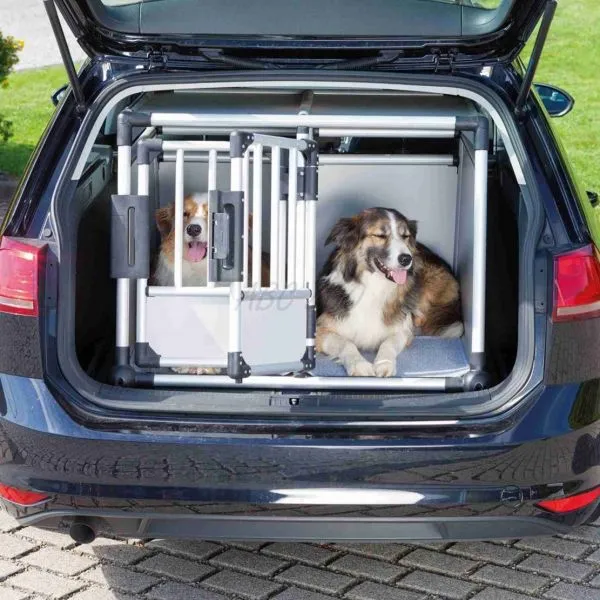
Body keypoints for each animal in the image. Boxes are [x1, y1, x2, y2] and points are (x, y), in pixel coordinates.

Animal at [315, 207, 463, 377]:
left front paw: (384, 364)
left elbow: (388, 343)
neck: (373, 286)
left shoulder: (403, 331)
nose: (406, 259)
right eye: (380, 235)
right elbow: (347, 344)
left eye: (405, 236)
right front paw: (359, 365)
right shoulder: (319, 331)